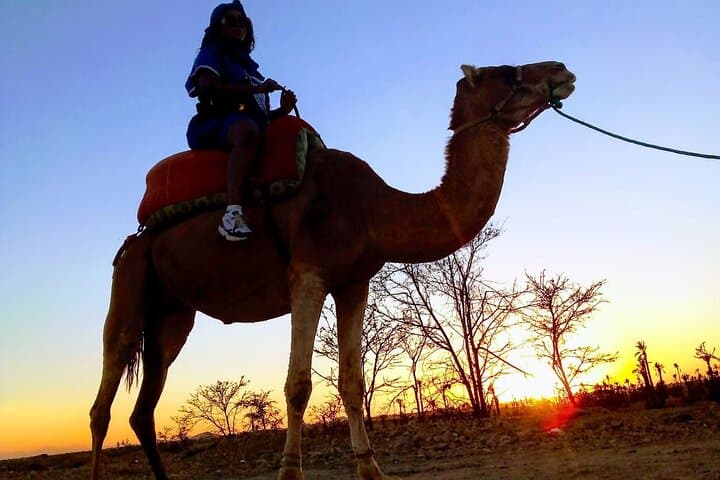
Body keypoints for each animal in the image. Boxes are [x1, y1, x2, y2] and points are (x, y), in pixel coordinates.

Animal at [89, 61, 575, 480]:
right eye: (507, 72)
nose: (562, 70)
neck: (372, 208)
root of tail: (136, 235)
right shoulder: (308, 275)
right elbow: (298, 385)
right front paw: (290, 472)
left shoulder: (354, 282)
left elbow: (352, 381)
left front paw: (371, 468)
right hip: (130, 278)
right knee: (105, 394)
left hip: (172, 312)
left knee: (145, 402)